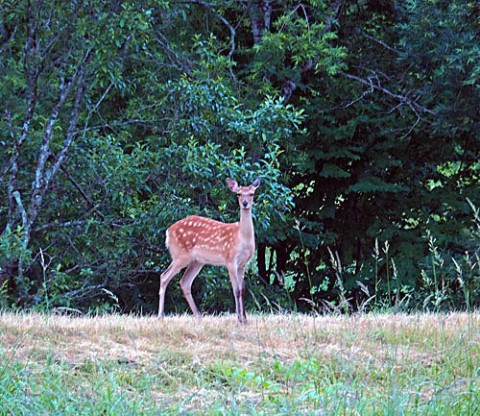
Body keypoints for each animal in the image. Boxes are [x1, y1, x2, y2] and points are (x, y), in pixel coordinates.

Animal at [158, 177, 260, 324]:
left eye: (252, 193)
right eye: (238, 194)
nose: (245, 203)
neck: (241, 237)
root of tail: (168, 231)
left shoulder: (243, 263)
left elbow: (242, 290)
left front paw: (245, 320)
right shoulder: (230, 260)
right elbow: (235, 290)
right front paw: (239, 320)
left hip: (197, 261)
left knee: (184, 282)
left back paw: (199, 316)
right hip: (180, 255)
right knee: (164, 276)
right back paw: (161, 316)